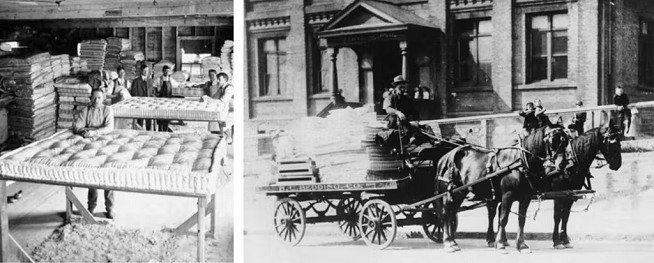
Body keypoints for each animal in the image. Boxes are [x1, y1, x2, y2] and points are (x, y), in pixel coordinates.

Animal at [436, 126, 568, 254]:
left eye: (565, 142)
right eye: (552, 141)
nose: (562, 165)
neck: (519, 163)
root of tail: (445, 157)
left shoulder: (526, 197)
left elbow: (521, 220)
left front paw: (522, 245)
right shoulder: (507, 195)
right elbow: (503, 218)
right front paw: (500, 244)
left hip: (459, 193)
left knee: (452, 214)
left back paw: (453, 242)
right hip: (449, 193)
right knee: (446, 214)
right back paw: (448, 243)